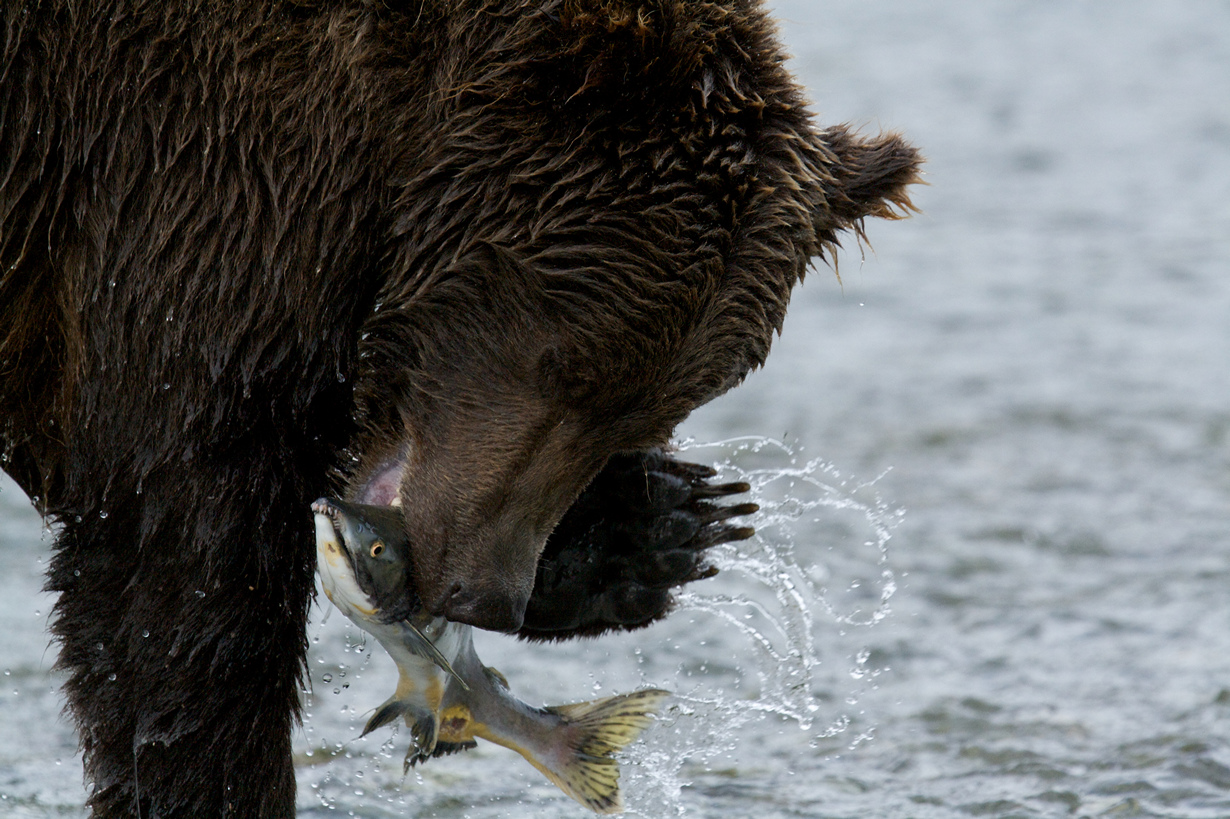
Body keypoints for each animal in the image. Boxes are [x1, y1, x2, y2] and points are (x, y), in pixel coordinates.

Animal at [2, 0, 924, 811]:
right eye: (569, 366)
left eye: (658, 403)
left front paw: (660, 526)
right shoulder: (182, 200)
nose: (486, 597)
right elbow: (179, 579)